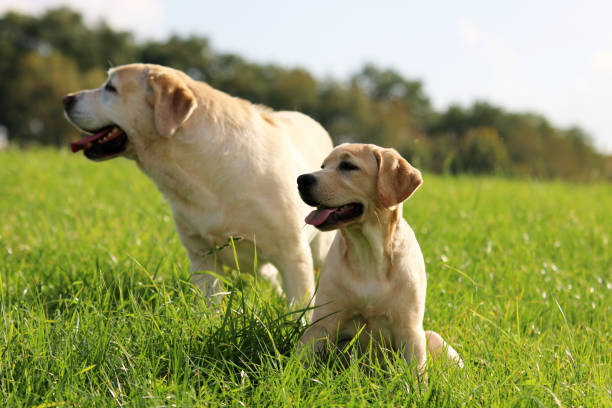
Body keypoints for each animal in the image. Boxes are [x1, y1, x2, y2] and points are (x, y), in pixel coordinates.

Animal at [62, 63, 334, 310]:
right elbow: (208, 306)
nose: (66, 99)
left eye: (111, 88)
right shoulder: (202, 257)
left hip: (319, 247)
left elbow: (300, 308)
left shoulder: (294, 255)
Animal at [298, 143, 464, 376]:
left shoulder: (410, 328)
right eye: (323, 166)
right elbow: (300, 359)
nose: (302, 179)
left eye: (348, 166)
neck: (368, 252)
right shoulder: (323, 322)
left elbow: (416, 372)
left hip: (433, 338)